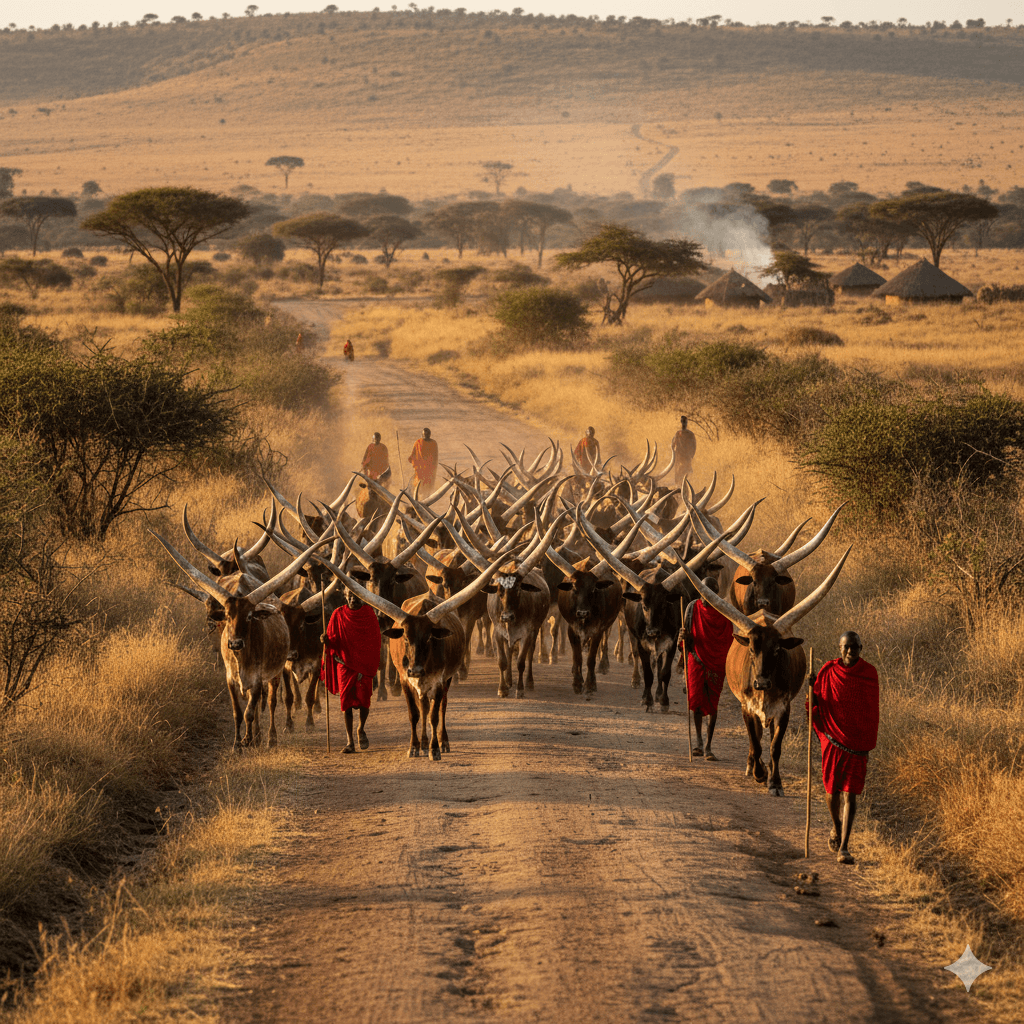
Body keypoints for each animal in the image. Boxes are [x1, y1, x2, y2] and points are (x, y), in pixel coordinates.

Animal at [680, 549, 851, 795]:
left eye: (778, 650)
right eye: (751, 649)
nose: (761, 684)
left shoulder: (783, 709)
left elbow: (774, 747)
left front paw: (775, 781)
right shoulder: (747, 707)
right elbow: (755, 742)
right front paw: (759, 772)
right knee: (756, 739)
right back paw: (752, 766)